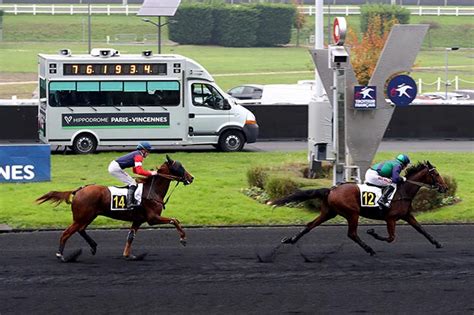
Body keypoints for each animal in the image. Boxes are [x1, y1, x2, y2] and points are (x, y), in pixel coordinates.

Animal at [35, 155, 194, 262]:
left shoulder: (138, 220)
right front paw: (183, 238)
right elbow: (174, 220)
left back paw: (93, 246)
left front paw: (129, 255)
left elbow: (130, 237)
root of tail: (78, 190)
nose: (191, 178)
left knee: (80, 230)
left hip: (88, 216)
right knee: (66, 233)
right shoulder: (152, 218)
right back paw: (62, 255)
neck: (152, 190)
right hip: (82, 217)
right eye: (180, 167)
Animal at [270, 162, 448, 256]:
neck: (402, 191)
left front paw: (437, 243)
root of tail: (332, 190)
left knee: (309, 225)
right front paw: (372, 232)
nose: (445, 188)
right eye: (436, 174)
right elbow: (391, 237)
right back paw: (369, 249)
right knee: (352, 234)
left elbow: (421, 229)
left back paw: (291, 239)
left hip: (329, 212)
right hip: (352, 213)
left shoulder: (407, 215)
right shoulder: (390, 218)